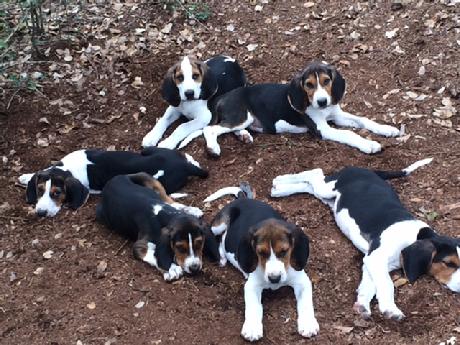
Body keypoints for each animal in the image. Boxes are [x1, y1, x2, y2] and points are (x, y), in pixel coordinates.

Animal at [18, 146, 207, 216]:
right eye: (40, 190)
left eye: (57, 193)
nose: (40, 213)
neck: (68, 168)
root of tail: (184, 166)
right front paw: (26, 177)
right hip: (148, 149)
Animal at [189, 60, 400, 156]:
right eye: (308, 85)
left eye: (327, 81)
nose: (322, 101)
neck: (322, 110)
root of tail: (221, 98)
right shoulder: (322, 129)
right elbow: (349, 133)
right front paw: (369, 144)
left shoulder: (337, 115)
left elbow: (363, 120)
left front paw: (387, 129)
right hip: (241, 115)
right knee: (210, 129)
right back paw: (214, 148)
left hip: (241, 120)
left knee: (227, 128)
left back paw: (244, 136)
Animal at [206, 183, 318, 342]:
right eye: (261, 253)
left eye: (284, 251)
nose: (274, 279)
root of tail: (243, 198)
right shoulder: (252, 286)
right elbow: (254, 307)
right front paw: (252, 328)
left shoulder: (302, 281)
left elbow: (306, 303)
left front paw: (308, 324)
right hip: (218, 225)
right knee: (219, 238)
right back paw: (222, 256)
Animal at [272, 159, 458, 320]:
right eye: (448, 263)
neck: (415, 235)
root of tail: (366, 169)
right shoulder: (376, 258)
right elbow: (387, 285)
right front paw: (390, 309)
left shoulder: (373, 261)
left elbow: (370, 285)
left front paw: (362, 305)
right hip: (327, 188)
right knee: (315, 173)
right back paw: (279, 182)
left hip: (327, 198)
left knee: (308, 185)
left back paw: (279, 189)